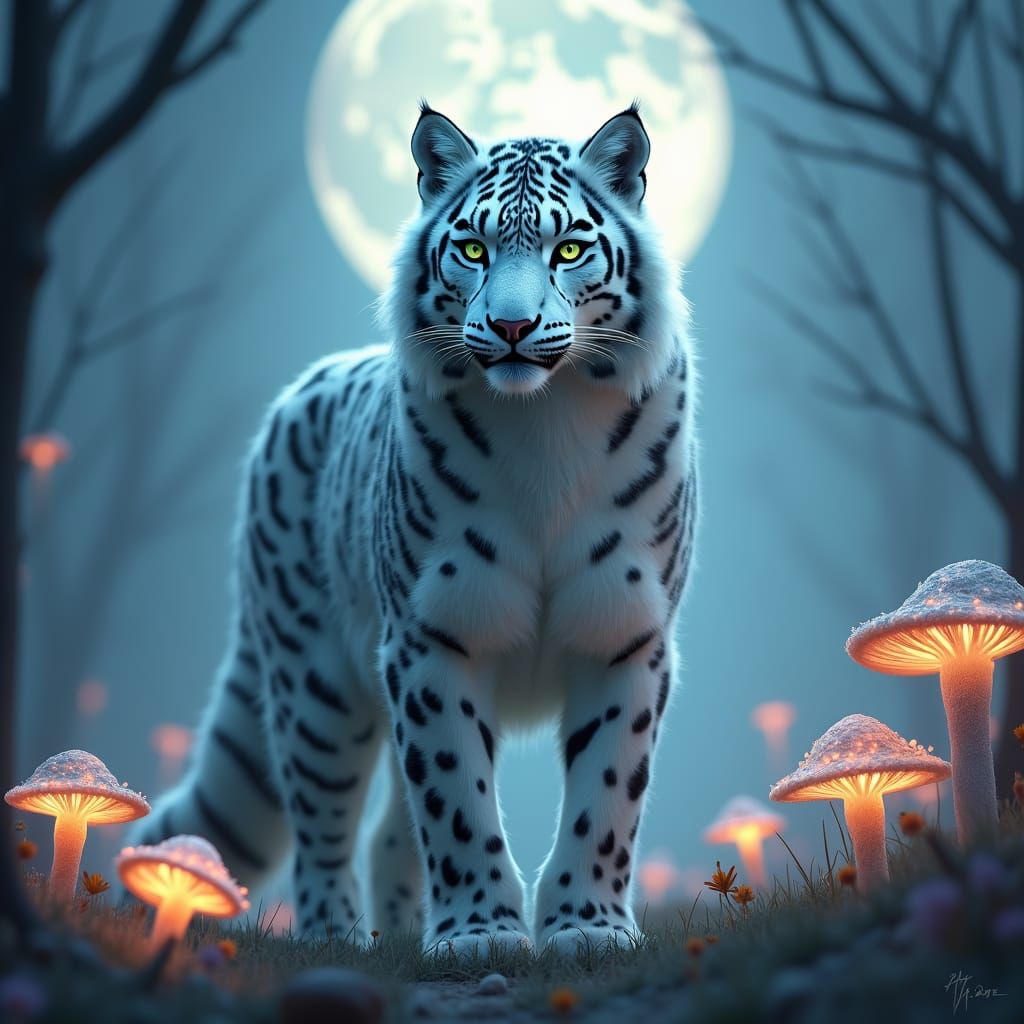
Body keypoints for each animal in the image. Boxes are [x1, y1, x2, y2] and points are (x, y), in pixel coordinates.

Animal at [133, 102, 699, 955]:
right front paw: (481, 934)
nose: (511, 326)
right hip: (315, 684)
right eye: (473, 247)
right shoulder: (432, 634)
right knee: (324, 832)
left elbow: (607, 791)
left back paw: (400, 933)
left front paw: (586, 926)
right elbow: (454, 796)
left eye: (568, 248)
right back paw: (337, 939)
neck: (547, 430)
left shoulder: (625, 631)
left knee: (384, 834)